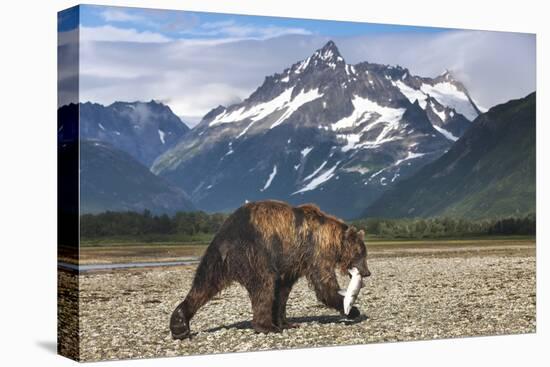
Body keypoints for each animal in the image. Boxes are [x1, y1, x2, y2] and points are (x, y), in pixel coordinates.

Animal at [170, 200, 374, 340]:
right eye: (361, 253)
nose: (366, 272)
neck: (334, 240)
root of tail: (227, 237)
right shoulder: (315, 251)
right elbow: (324, 286)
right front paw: (352, 309)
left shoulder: (292, 262)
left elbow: (283, 290)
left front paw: (286, 321)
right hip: (255, 253)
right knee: (264, 285)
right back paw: (266, 326)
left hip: (216, 258)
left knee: (204, 284)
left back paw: (179, 325)